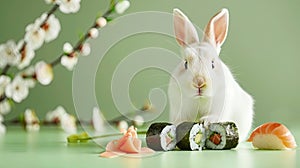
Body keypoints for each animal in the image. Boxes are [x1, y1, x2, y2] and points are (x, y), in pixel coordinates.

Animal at [169, 8, 253, 140]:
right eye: (185, 63)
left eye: (213, 64)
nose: (199, 82)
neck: (200, 99)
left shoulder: (221, 103)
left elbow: (214, 115)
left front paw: (206, 121)